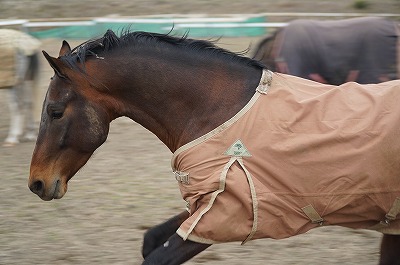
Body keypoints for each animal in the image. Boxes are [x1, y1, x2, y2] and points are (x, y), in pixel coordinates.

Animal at [28, 29, 400, 264]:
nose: (36, 183)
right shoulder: (207, 204)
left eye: (54, 111)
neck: (218, 111)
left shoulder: (224, 216)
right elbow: (151, 240)